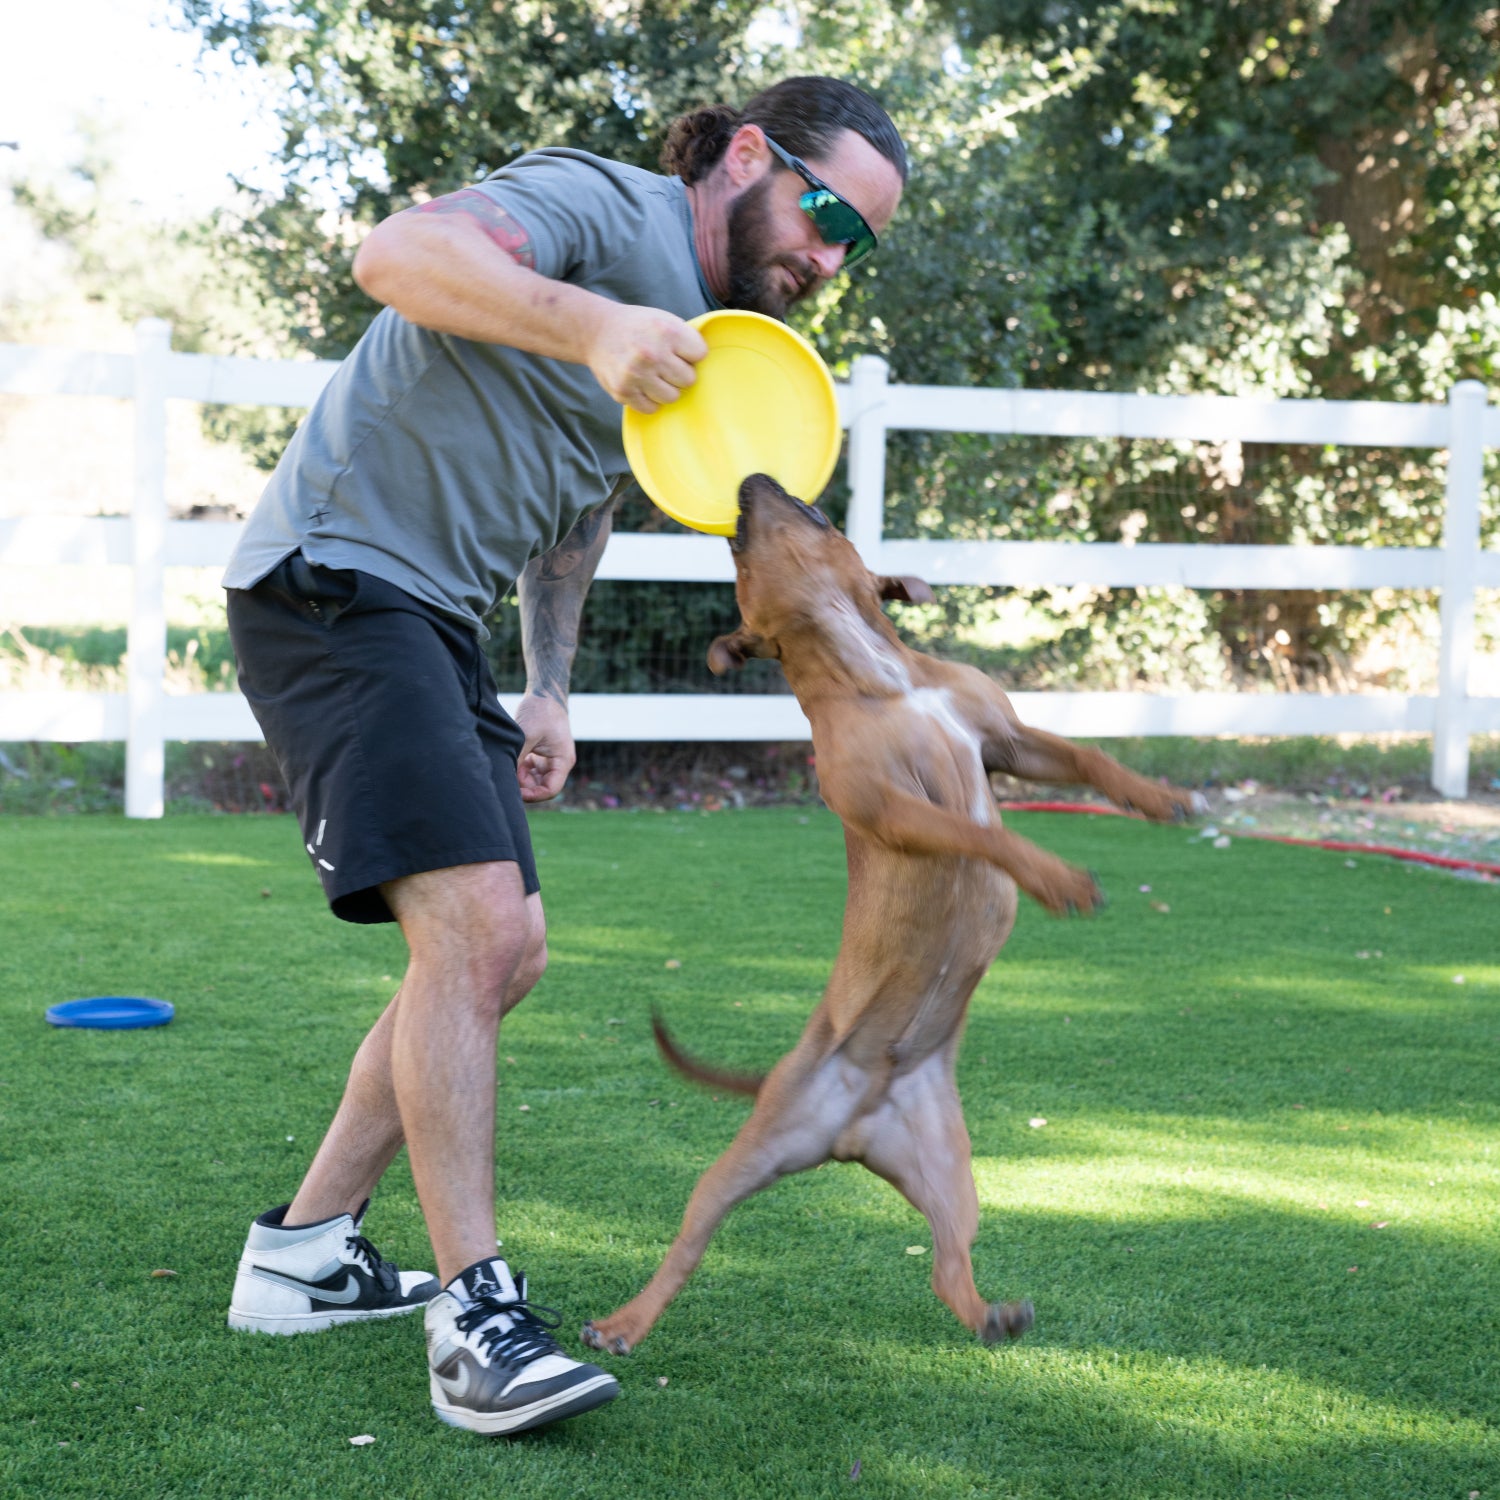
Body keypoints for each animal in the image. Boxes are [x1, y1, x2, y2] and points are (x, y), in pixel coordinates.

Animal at [579, 474, 1200, 1356]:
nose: (752, 480)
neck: (878, 673)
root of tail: (851, 1130)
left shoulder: (1008, 739)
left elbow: (1087, 757)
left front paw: (1160, 797)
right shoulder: (892, 808)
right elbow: (983, 834)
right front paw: (1055, 879)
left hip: (951, 1172)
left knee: (946, 1265)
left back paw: (990, 1313)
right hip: (743, 1160)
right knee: (687, 1244)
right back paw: (623, 1323)